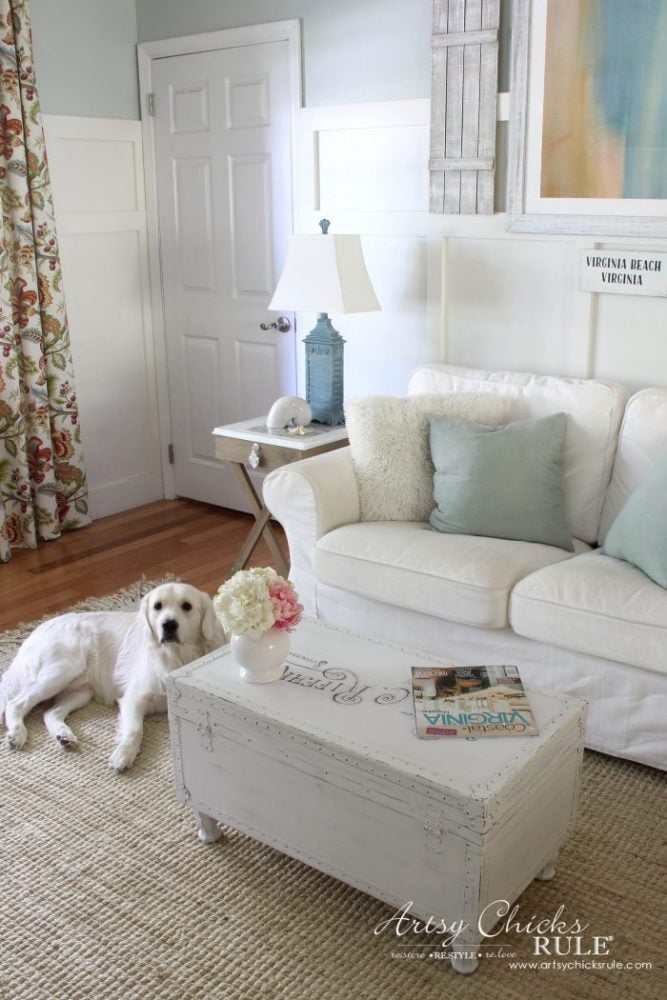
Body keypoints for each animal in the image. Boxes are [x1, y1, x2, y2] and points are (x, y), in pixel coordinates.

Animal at [0, 580, 224, 772]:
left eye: (187, 606)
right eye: (157, 606)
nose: (168, 625)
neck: (177, 656)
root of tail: (36, 630)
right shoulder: (134, 697)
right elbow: (135, 729)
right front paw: (124, 755)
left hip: (81, 691)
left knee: (50, 713)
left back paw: (64, 736)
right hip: (63, 668)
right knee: (16, 703)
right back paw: (17, 734)